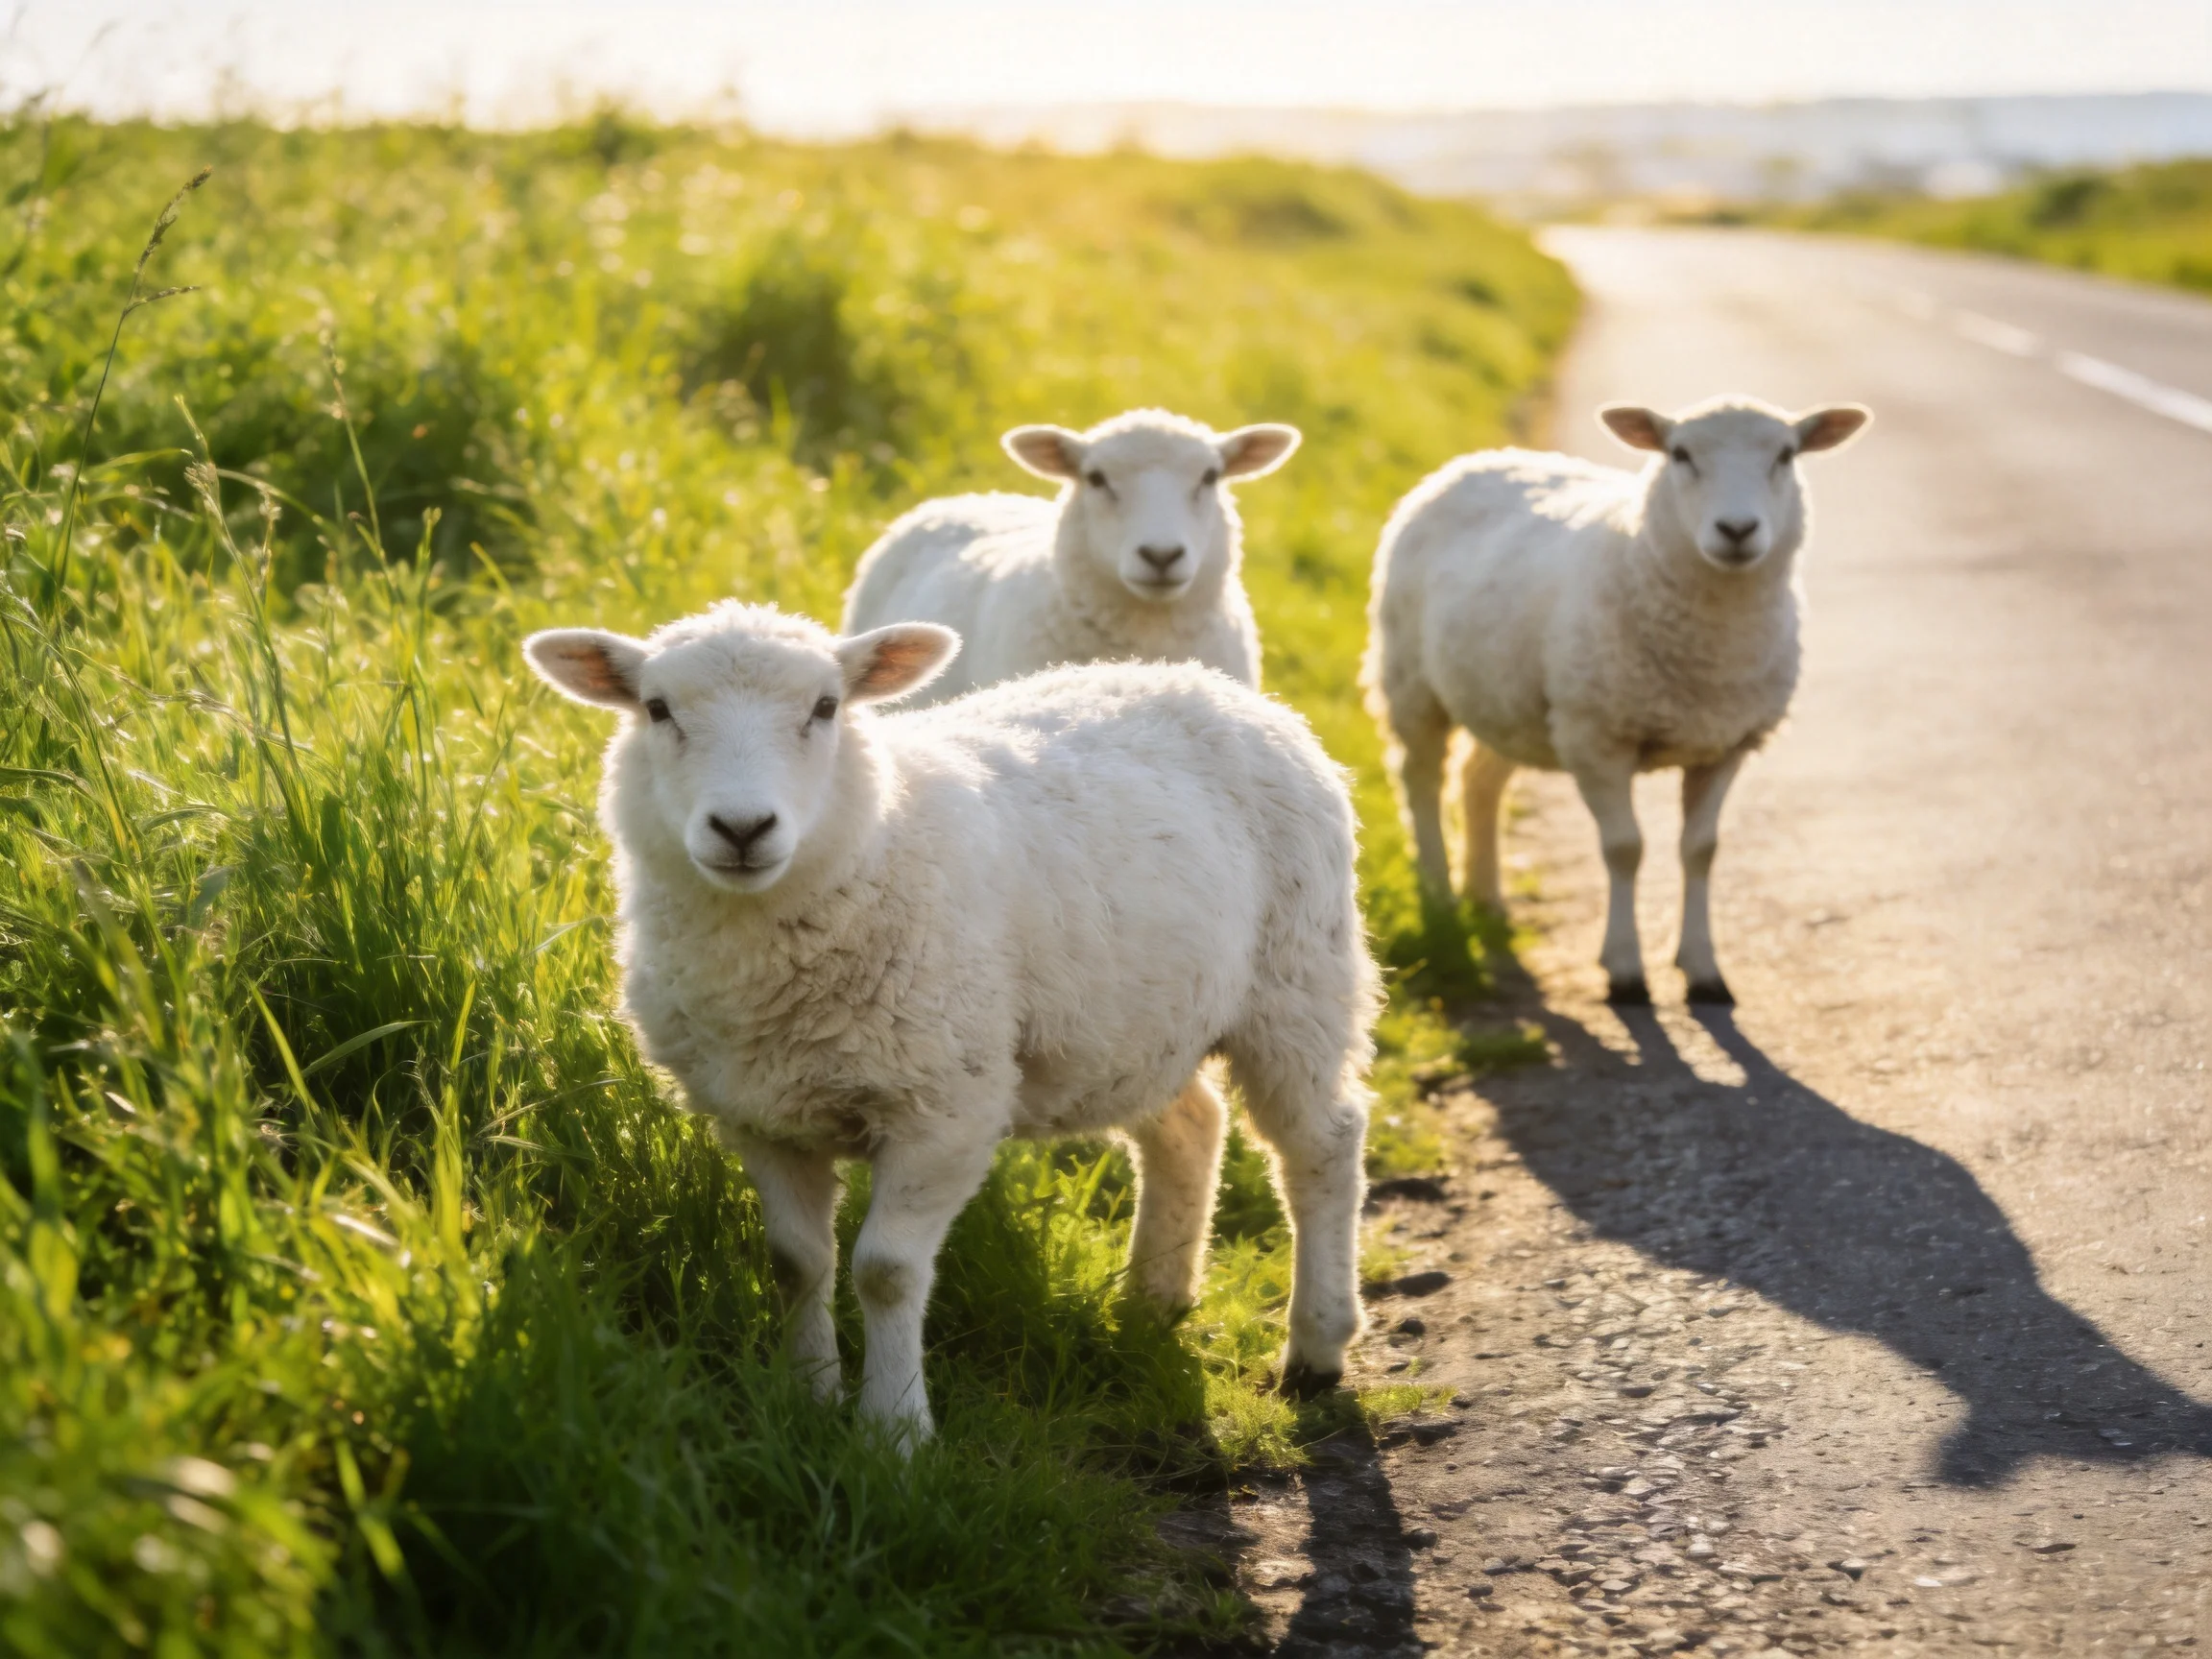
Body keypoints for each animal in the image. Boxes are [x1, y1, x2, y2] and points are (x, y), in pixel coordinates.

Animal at [523, 601, 1377, 1444]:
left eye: (825, 707)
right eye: (657, 709)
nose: (741, 828)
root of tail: (1208, 684)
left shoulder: (944, 1108)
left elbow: (886, 1271)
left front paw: (895, 1431)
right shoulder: (761, 1116)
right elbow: (795, 1261)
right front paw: (808, 1398)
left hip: (1299, 980)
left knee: (1322, 1146)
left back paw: (1317, 1345)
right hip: (1138, 1020)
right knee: (1190, 1126)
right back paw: (1153, 1300)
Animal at [1364, 395, 1871, 1005]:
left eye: (1786, 455)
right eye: (1680, 454)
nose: (1737, 529)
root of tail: (1477, 460)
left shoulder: (1725, 744)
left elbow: (1701, 850)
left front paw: (1702, 968)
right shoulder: (1596, 738)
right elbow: (1625, 849)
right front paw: (1625, 969)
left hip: (1509, 701)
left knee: (1479, 781)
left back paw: (1486, 897)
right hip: (1410, 681)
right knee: (1420, 779)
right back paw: (1438, 893)